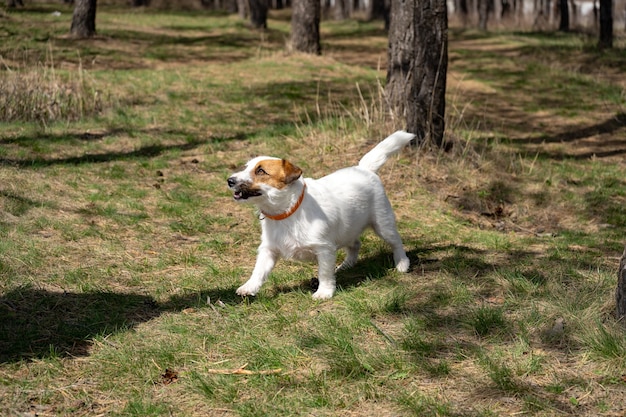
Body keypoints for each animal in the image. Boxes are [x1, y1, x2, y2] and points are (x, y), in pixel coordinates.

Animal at [227, 132, 412, 298]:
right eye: (246, 167)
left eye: (261, 171)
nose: (229, 180)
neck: (287, 212)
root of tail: (365, 169)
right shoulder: (268, 249)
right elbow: (258, 271)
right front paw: (249, 287)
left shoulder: (324, 249)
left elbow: (324, 273)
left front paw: (324, 292)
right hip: (348, 229)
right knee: (355, 244)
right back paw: (346, 265)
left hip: (383, 224)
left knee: (396, 242)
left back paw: (402, 263)